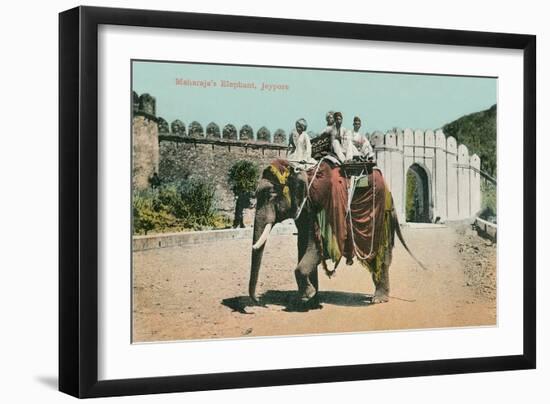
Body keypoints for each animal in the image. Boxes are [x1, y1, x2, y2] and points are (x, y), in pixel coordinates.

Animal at [248, 158, 420, 306]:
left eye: (271, 194)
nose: (257, 300)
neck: (301, 172)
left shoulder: (319, 208)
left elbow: (319, 248)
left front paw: (307, 296)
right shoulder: (304, 211)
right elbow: (303, 245)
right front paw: (310, 300)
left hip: (381, 218)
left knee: (381, 255)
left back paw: (378, 299)